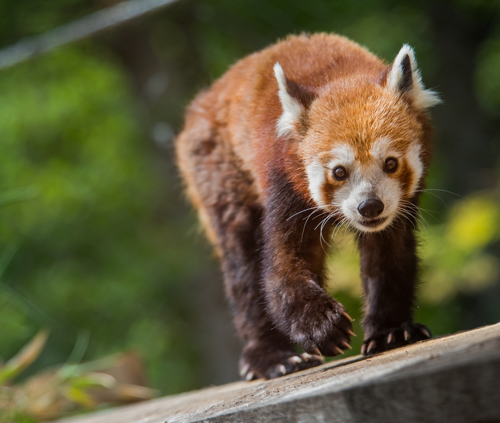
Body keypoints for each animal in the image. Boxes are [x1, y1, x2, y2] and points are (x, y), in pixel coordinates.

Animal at [175, 34, 438, 380]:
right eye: (339, 171)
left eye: (391, 163)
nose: (369, 206)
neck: (340, 75)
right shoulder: (284, 183)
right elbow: (283, 269)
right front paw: (323, 327)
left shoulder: (397, 209)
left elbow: (389, 257)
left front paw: (391, 331)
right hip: (218, 170)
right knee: (243, 267)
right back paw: (271, 358)